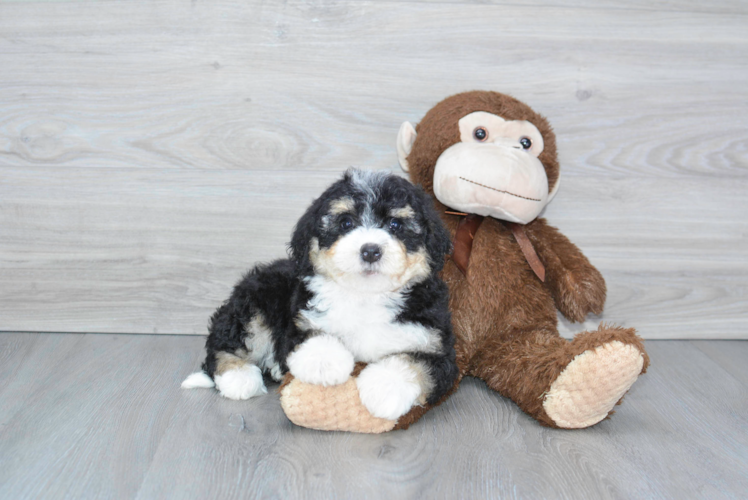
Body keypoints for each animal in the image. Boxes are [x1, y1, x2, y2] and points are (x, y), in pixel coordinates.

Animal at [184, 170, 458, 420]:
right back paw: (238, 376)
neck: (366, 296)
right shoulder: (300, 321)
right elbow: (313, 337)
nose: (370, 250)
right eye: (346, 223)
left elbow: (414, 363)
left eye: (395, 225)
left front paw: (384, 389)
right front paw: (324, 364)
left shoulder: (435, 344)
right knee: (229, 342)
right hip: (256, 300)